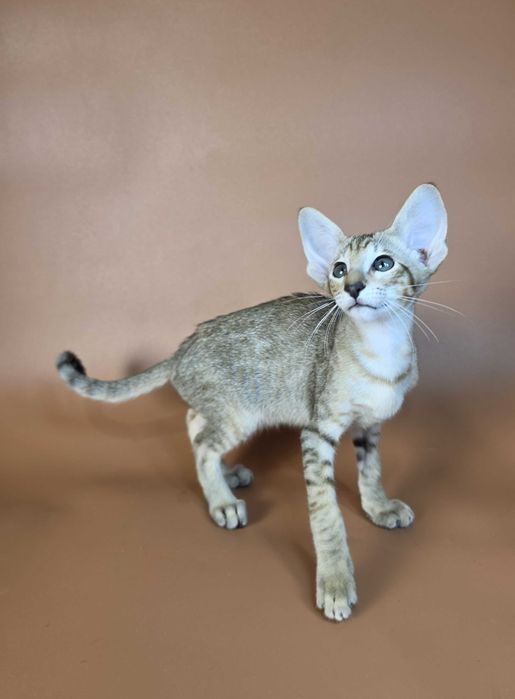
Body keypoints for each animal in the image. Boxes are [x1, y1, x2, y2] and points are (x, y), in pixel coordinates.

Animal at [56, 183, 448, 622]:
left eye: (383, 263)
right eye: (338, 269)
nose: (352, 288)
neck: (382, 351)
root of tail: (182, 347)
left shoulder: (370, 425)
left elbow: (372, 470)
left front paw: (378, 507)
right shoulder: (317, 432)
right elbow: (326, 513)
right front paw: (335, 582)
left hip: (226, 407)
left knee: (193, 421)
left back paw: (225, 477)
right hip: (239, 413)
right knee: (203, 442)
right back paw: (222, 502)